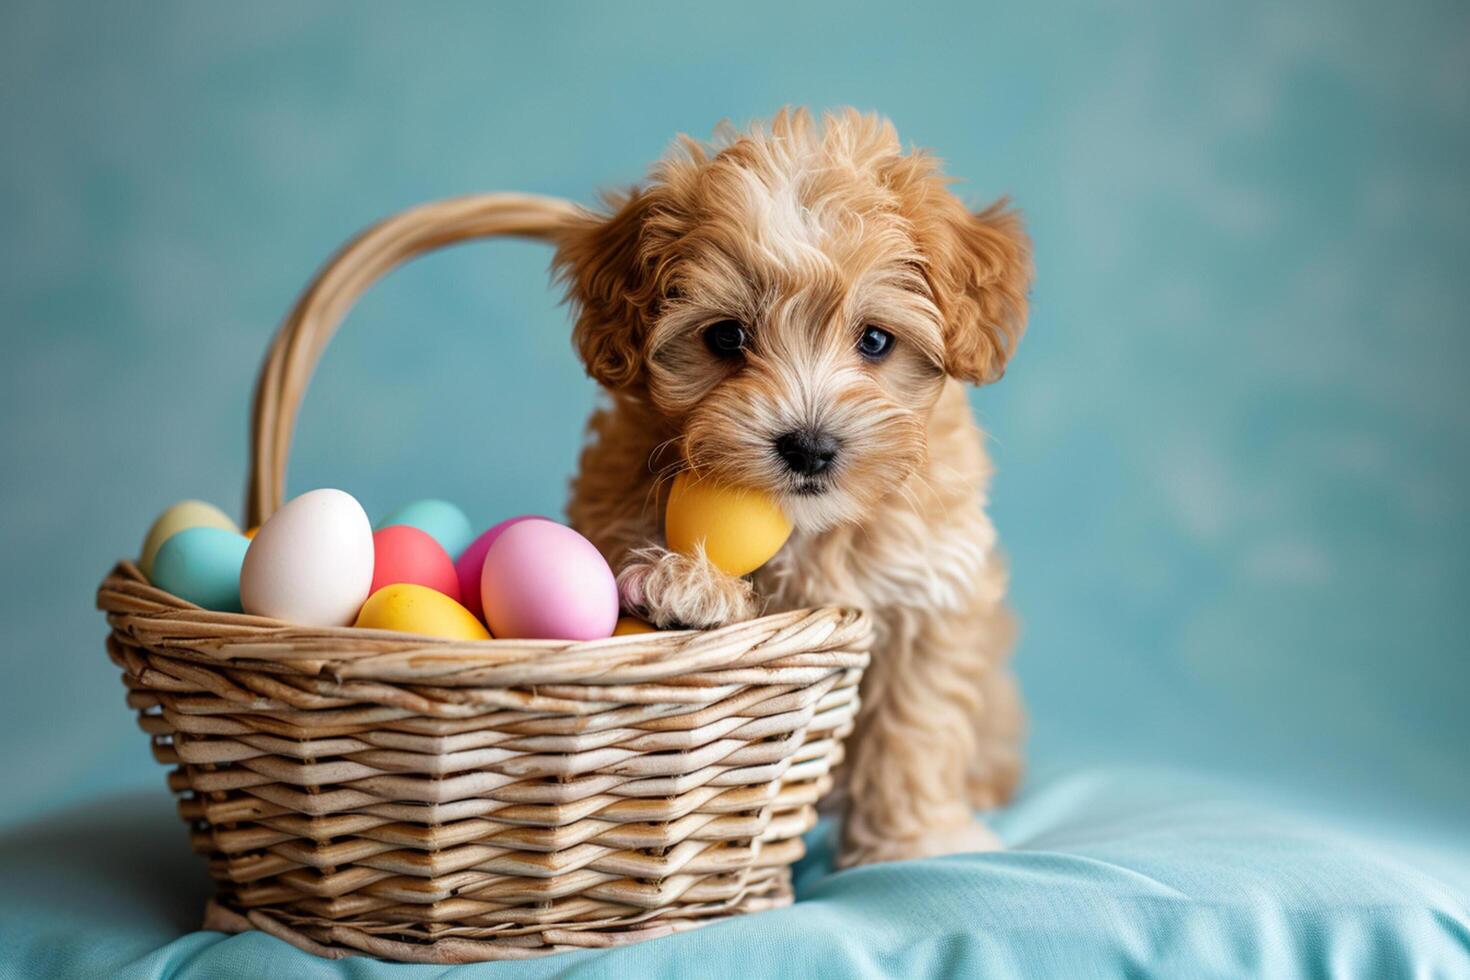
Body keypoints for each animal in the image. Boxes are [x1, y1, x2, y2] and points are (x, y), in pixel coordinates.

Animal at [552, 110, 1034, 869]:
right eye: (727, 337)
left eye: (874, 341)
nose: (809, 445)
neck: (815, 529)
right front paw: (687, 587)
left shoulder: (930, 589)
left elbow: (915, 724)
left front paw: (917, 839)